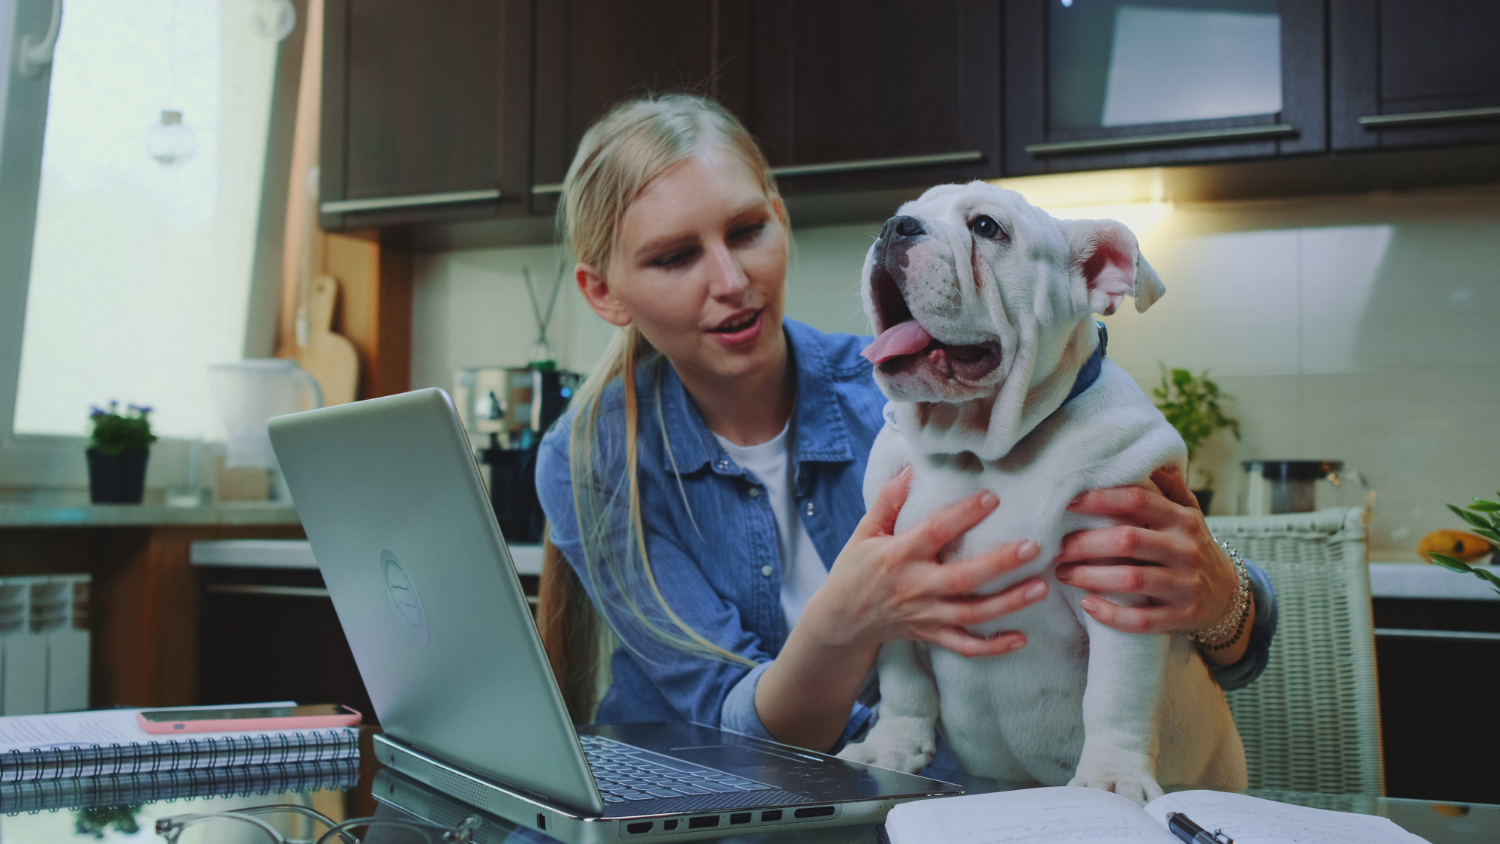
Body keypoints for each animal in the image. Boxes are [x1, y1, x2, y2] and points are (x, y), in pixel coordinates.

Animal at [840, 181, 1248, 803]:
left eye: (987, 228)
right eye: (904, 212)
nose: (895, 228)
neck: (978, 450)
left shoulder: (1120, 582)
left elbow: (1116, 695)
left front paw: (1111, 780)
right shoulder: (893, 576)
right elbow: (901, 675)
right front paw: (892, 748)